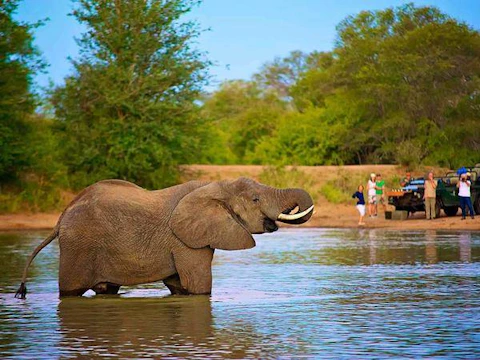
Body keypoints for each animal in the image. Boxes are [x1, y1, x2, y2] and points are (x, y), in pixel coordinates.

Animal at [15, 177, 314, 298]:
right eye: (255, 199)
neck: (214, 186)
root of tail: (61, 217)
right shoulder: (184, 240)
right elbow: (199, 285)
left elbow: (179, 284)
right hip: (78, 246)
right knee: (71, 291)